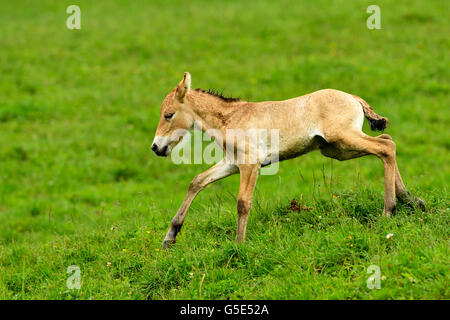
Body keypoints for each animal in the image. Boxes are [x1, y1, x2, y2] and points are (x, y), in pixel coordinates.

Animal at [152, 73, 426, 248]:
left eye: (169, 115)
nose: (156, 147)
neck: (231, 118)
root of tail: (353, 98)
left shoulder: (250, 165)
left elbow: (243, 203)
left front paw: (238, 245)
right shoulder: (232, 164)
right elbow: (197, 182)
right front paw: (170, 237)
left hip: (343, 140)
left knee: (385, 147)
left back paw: (390, 209)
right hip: (336, 149)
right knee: (387, 142)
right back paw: (412, 201)